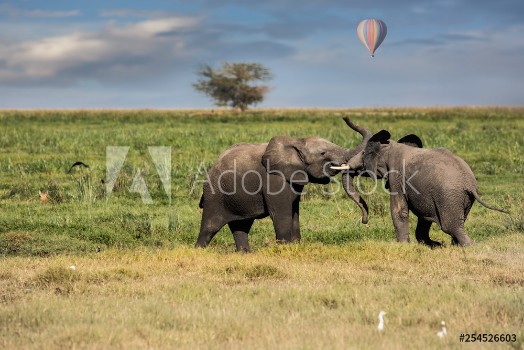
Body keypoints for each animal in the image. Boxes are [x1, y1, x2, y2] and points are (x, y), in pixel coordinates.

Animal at [196, 119, 372, 250]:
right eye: (323, 153)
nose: (364, 221)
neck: (298, 142)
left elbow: (294, 211)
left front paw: (295, 246)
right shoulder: (274, 179)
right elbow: (281, 213)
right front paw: (285, 248)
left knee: (241, 225)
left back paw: (244, 254)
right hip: (215, 195)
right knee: (210, 226)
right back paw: (200, 251)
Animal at [336, 129, 508, 246]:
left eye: (363, 154)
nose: (364, 221)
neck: (390, 146)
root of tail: (469, 183)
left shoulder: (397, 176)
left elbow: (399, 210)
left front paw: (403, 246)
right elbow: (424, 216)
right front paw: (431, 244)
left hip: (448, 196)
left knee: (450, 226)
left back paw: (468, 246)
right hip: (462, 199)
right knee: (458, 222)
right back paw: (451, 246)